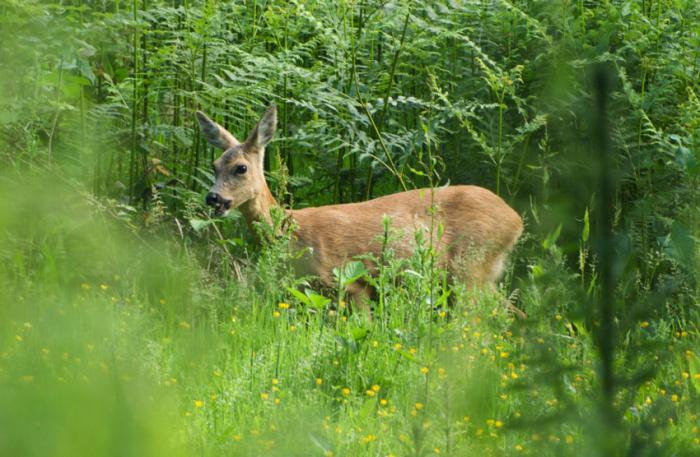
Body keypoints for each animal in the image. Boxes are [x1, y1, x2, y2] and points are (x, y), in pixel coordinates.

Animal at [194, 104, 524, 310]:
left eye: (240, 168)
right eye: (214, 166)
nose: (213, 198)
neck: (293, 233)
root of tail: (516, 219)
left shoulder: (350, 281)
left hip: (471, 266)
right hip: (480, 275)